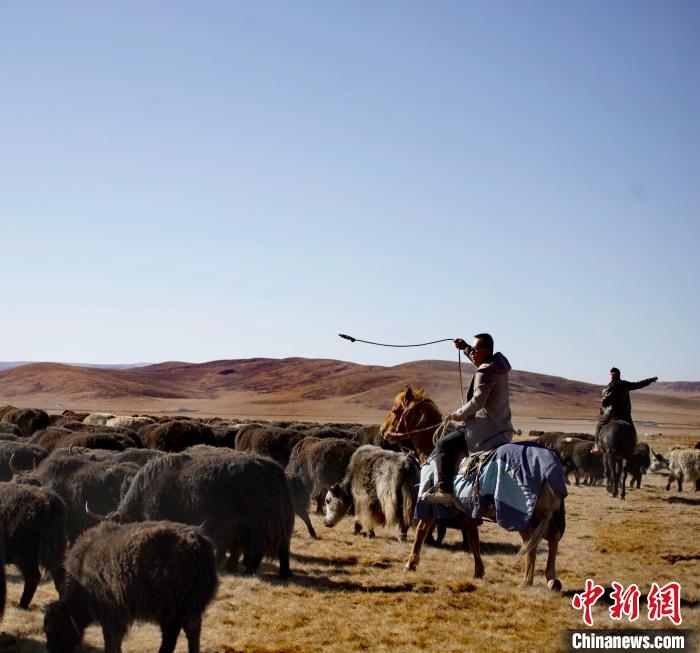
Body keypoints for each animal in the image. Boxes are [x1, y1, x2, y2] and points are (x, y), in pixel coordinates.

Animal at [380, 384, 568, 588]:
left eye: (395, 410)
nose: (382, 430)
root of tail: (546, 464)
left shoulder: (429, 501)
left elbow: (422, 530)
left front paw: (411, 564)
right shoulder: (468, 508)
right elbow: (473, 538)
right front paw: (479, 571)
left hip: (519, 513)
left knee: (531, 542)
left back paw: (527, 580)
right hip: (543, 513)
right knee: (553, 536)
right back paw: (552, 578)